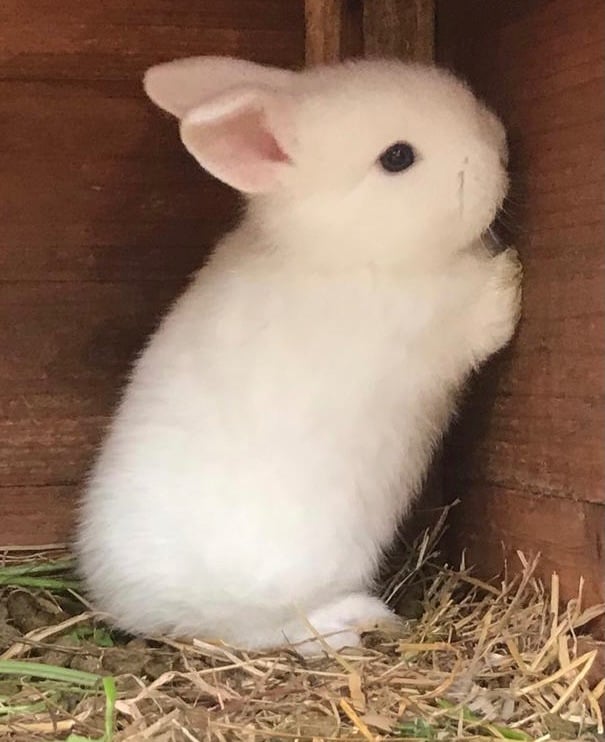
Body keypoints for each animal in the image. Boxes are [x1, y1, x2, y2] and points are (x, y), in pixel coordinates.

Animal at [76, 56, 522, 656]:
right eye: (397, 157)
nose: (499, 150)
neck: (347, 249)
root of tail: (131, 603)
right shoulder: (431, 328)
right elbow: (481, 321)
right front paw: (510, 278)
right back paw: (352, 621)